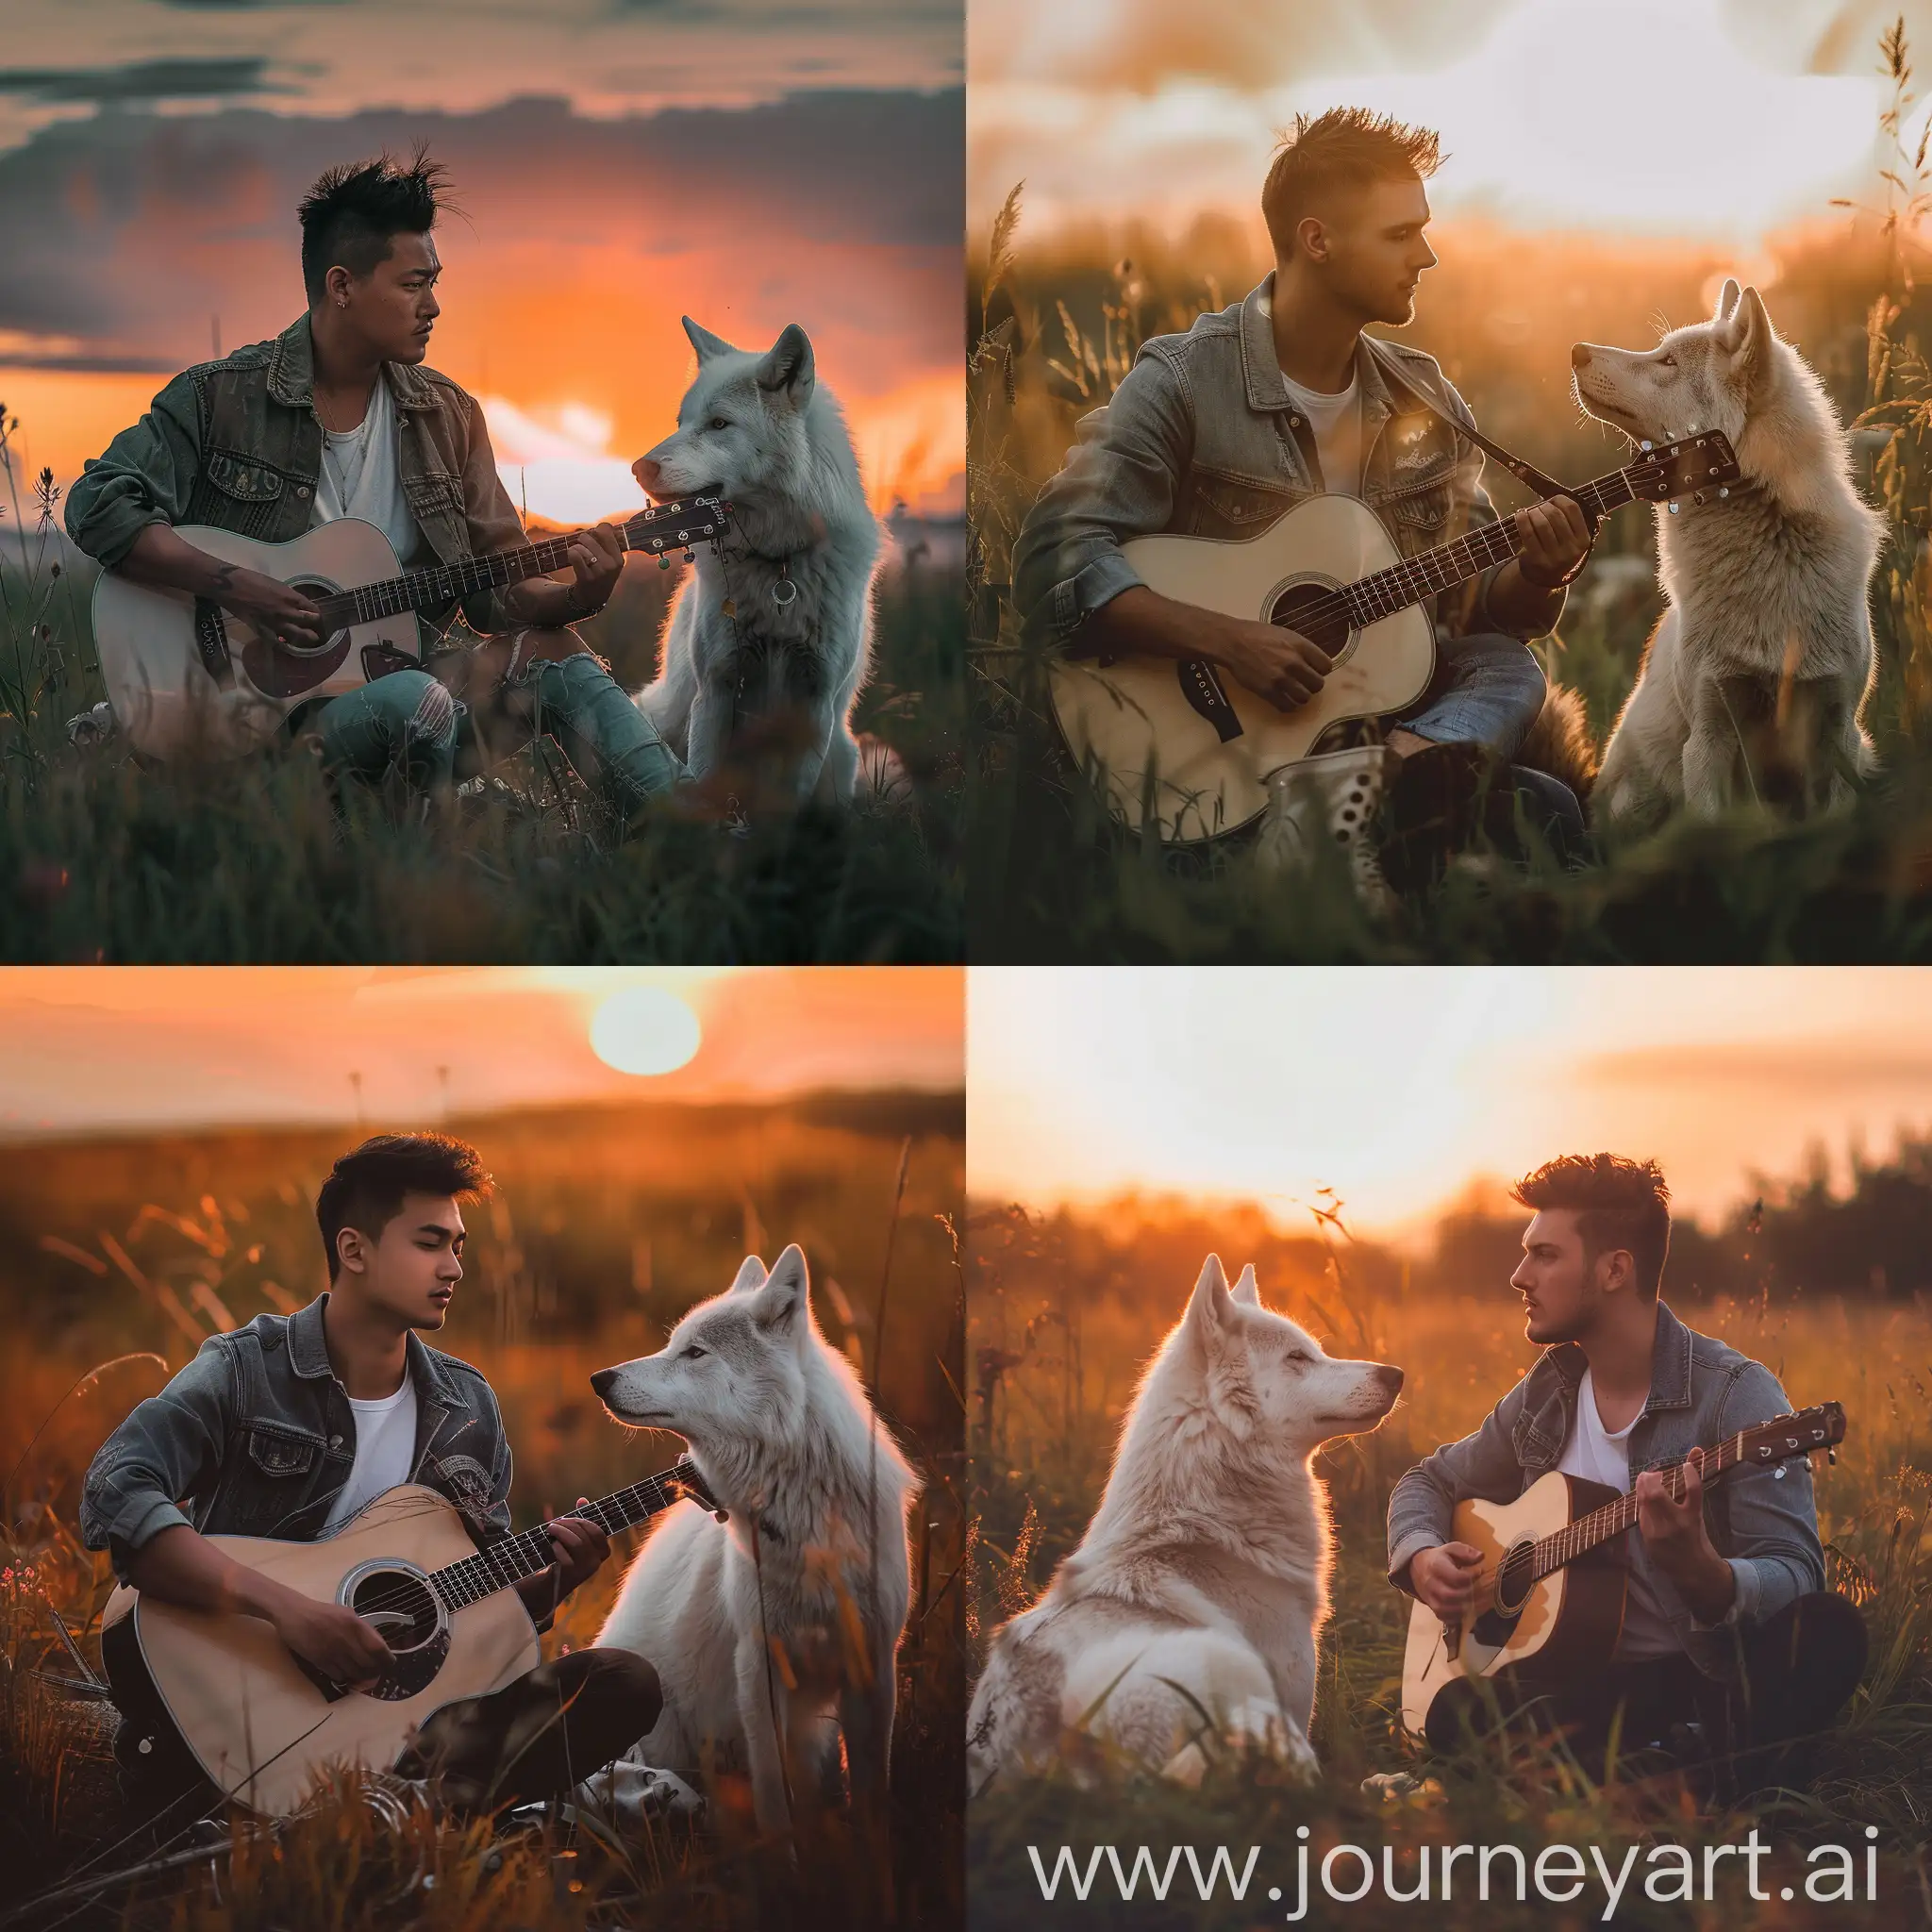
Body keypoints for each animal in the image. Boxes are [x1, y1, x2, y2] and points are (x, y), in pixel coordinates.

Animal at [587, 1243, 919, 1831]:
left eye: (695, 1353)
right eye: (672, 1344)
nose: (599, 1379)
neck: (803, 1520)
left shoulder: (873, 1664)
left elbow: (870, 1790)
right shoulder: (757, 1667)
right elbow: (773, 1792)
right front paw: (786, 1852)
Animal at [629, 320, 880, 803]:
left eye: (719, 424)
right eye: (681, 423)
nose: (638, 468)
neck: (777, 563)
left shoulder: (814, 702)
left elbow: (787, 804)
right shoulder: (716, 689)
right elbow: (705, 782)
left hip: (841, 757)